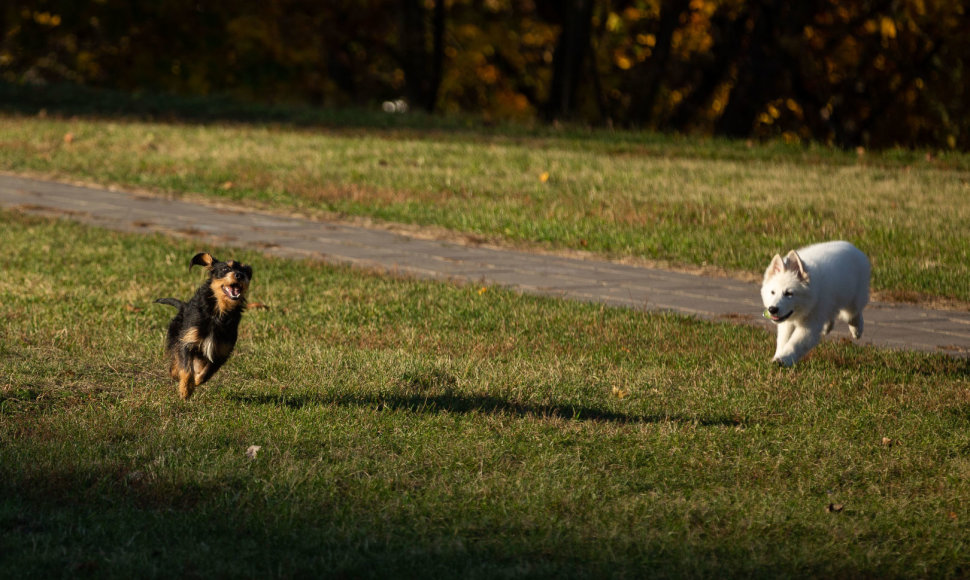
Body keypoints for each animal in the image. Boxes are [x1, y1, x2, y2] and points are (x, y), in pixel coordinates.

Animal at [155, 251, 253, 402]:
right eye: (225, 268)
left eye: (246, 272)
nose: (239, 275)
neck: (218, 314)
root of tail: (183, 306)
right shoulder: (187, 341)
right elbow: (186, 369)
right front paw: (185, 390)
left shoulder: (221, 352)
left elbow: (206, 373)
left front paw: (195, 382)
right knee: (176, 362)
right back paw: (176, 373)